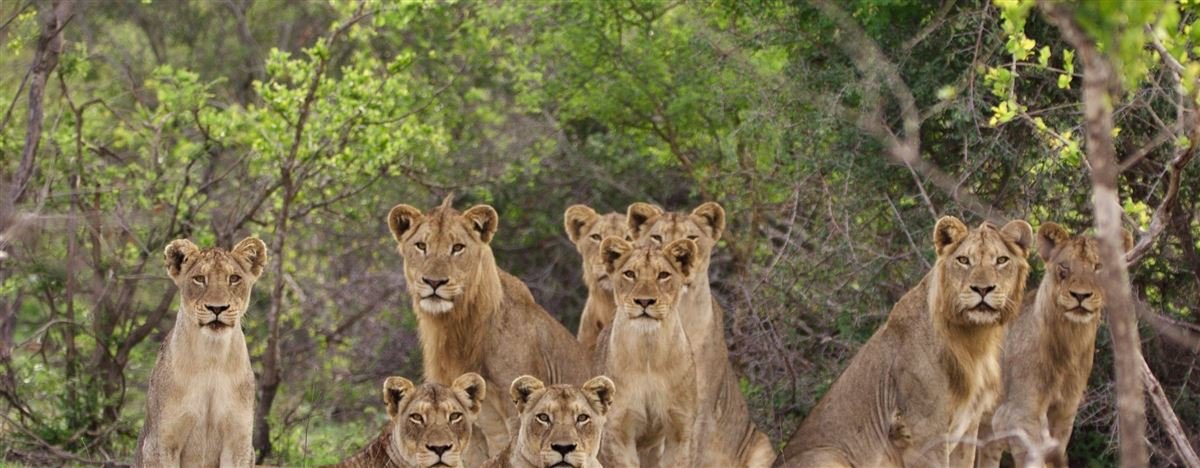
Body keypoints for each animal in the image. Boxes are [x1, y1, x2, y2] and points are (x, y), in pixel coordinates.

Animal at [135, 237, 269, 467]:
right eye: (199, 279)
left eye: (234, 278)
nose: (217, 308)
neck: (212, 357)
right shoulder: (161, 444)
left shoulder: (239, 444)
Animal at [594, 237, 700, 467]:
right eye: (629, 274)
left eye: (663, 275)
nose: (644, 301)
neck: (648, 353)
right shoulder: (617, 430)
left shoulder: (681, 428)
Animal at [779, 217, 1033, 468]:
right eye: (963, 260)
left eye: (1001, 260)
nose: (983, 289)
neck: (972, 339)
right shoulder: (924, 432)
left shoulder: (968, 429)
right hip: (828, 455)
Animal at [975, 223, 1132, 468]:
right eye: (1064, 267)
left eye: (1098, 267)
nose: (1080, 295)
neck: (1069, 343)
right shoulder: (1017, 416)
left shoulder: (1065, 415)